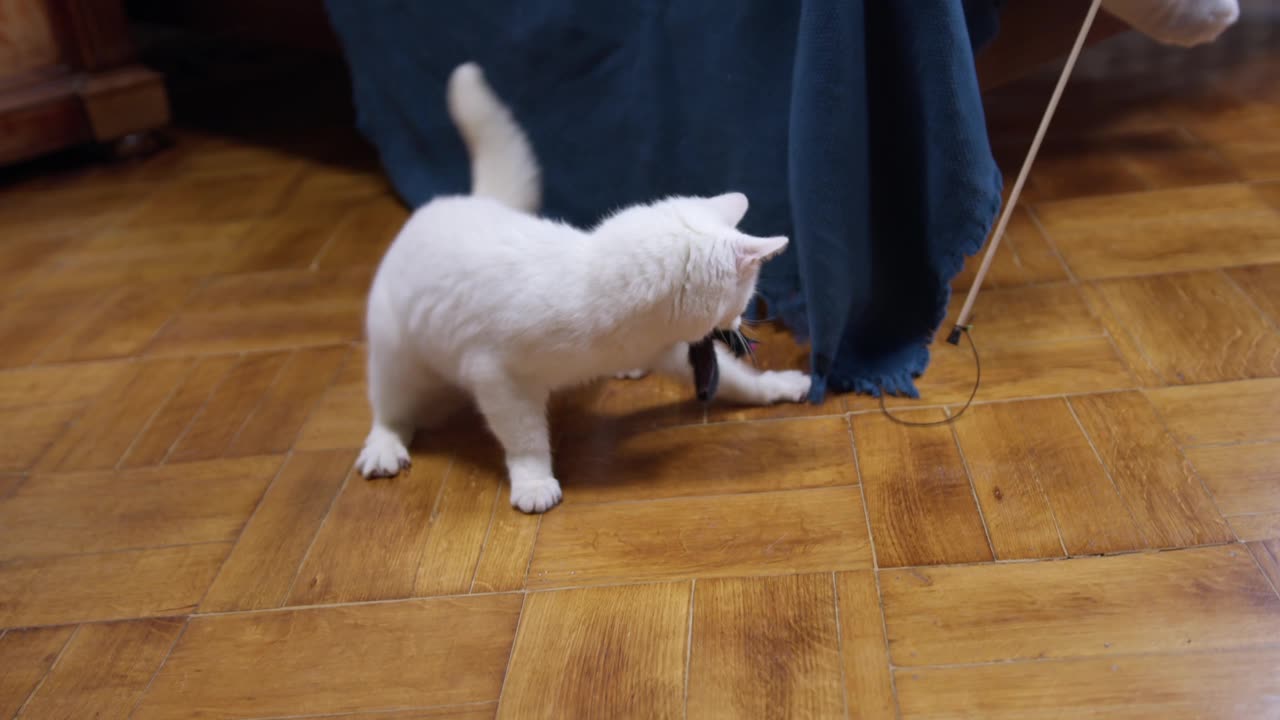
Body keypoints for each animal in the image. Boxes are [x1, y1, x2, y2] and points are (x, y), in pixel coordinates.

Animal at [353, 61, 808, 509]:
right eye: (744, 301)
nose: (739, 325)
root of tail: (455, 201)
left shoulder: (670, 350)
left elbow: (739, 380)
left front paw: (779, 385)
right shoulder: (497, 377)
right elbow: (525, 438)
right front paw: (534, 482)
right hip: (396, 356)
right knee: (389, 408)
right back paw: (384, 447)